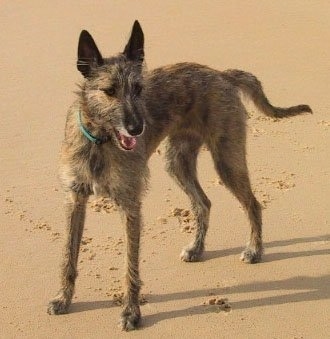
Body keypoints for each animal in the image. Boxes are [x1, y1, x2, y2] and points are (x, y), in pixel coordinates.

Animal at [47, 19, 312, 330]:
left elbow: (130, 267)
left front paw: (131, 312)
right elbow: (68, 256)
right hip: (177, 163)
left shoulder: (130, 205)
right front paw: (63, 298)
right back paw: (197, 248)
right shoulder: (75, 200)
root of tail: (222, 74)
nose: (137, 128)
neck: (100, 141)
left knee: (253, 204)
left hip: (227, 161)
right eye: (109, 90)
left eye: (139, 88)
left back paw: (255, 250)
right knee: (203, 203)